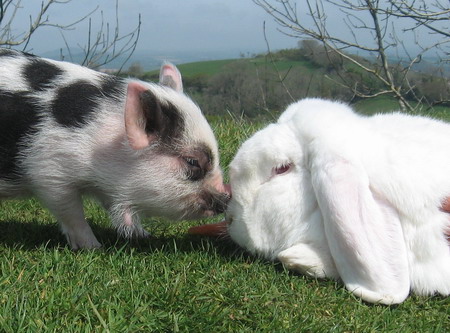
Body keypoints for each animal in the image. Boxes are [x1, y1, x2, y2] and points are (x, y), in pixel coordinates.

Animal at [0, 48, 230, 248]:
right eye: (193, 162)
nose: (226, 200)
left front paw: (143, 235)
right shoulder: (49, 171)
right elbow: (71, 212)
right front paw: (94, 247)